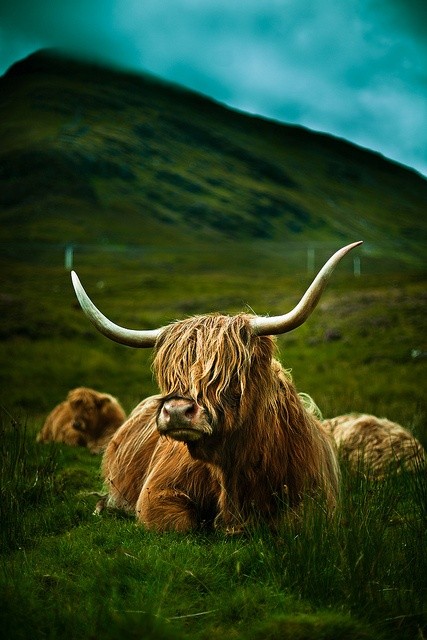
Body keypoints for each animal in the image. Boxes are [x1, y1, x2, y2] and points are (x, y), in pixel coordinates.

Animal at [72, 240, 362, 528]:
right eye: (169, 375)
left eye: (231, 373)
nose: (177, 412)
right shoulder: (155, 494)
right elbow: (180, 523)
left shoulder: (319, 500)